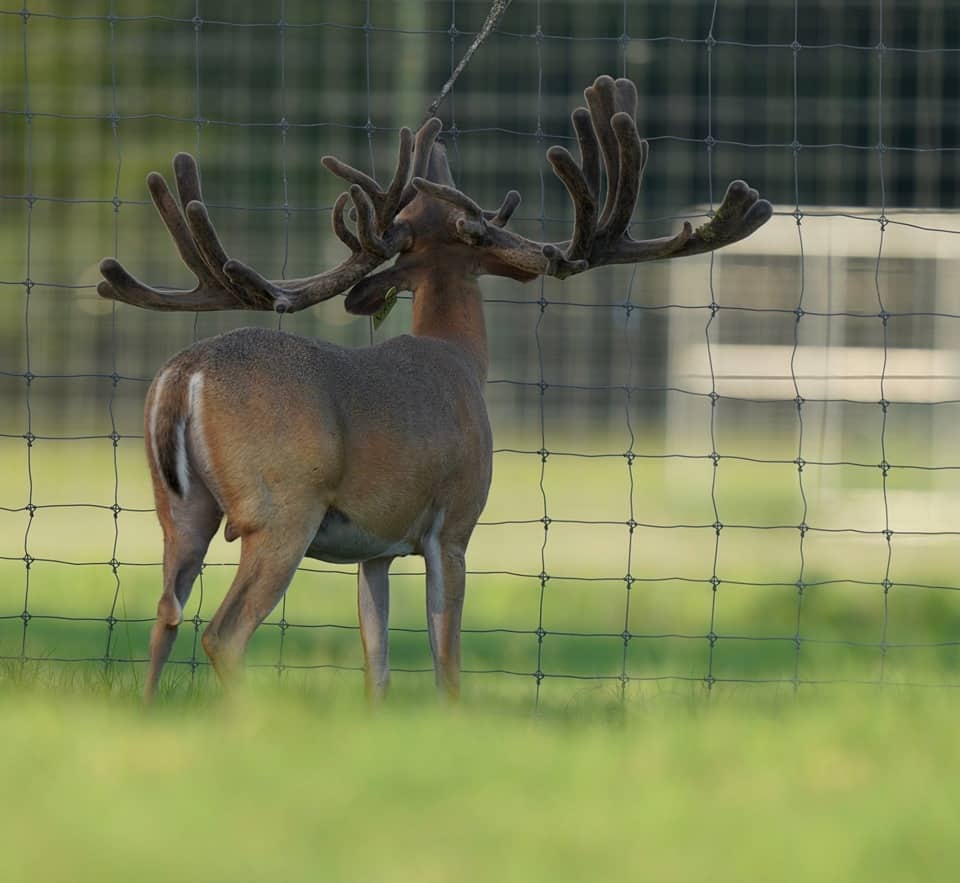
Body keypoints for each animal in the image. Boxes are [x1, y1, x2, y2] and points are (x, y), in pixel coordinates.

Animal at [96, 75, 772, 703]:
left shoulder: (374, 545)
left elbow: (378, 665)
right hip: (282, 506)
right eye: (478, 226)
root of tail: (184, 376)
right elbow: (447, 661)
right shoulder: (453, 523)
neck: (461, 358)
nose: (539, 253)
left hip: (180, 507)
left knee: (164, 614)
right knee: (223, 632)